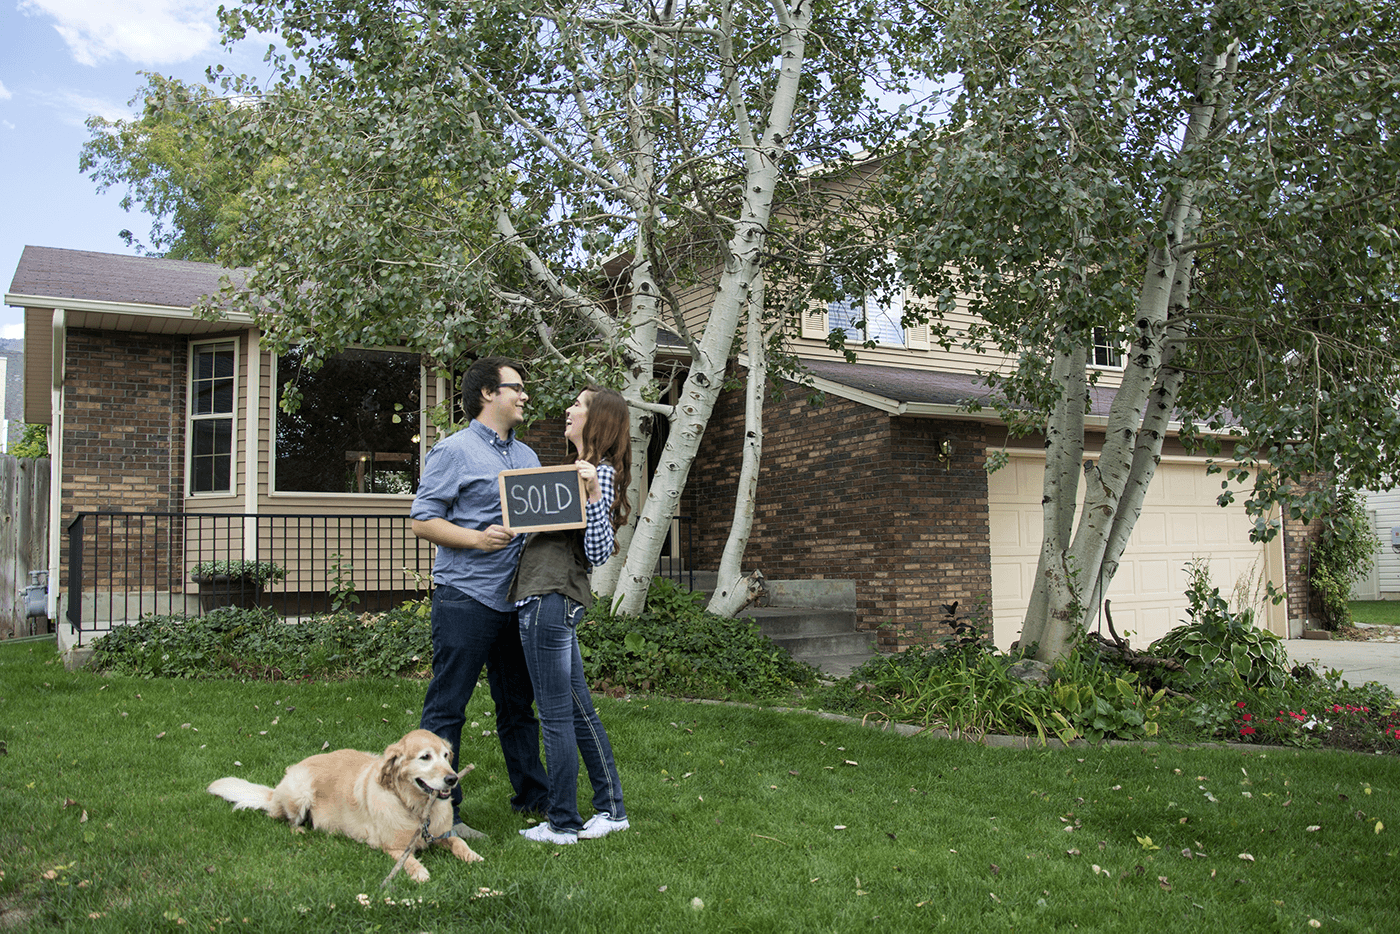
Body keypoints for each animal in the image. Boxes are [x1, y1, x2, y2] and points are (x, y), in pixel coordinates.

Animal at [204, 728, 484, 884]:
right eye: (425, 757)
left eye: (446, 756)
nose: (453, 778)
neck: (415, 807)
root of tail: (275, 792)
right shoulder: (392, 847)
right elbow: (408, 861)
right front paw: (419, 873)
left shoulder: (442, 834)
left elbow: (459, 841)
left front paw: (473, 856)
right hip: (299, 792)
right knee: (284, 819)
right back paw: (301, 829)